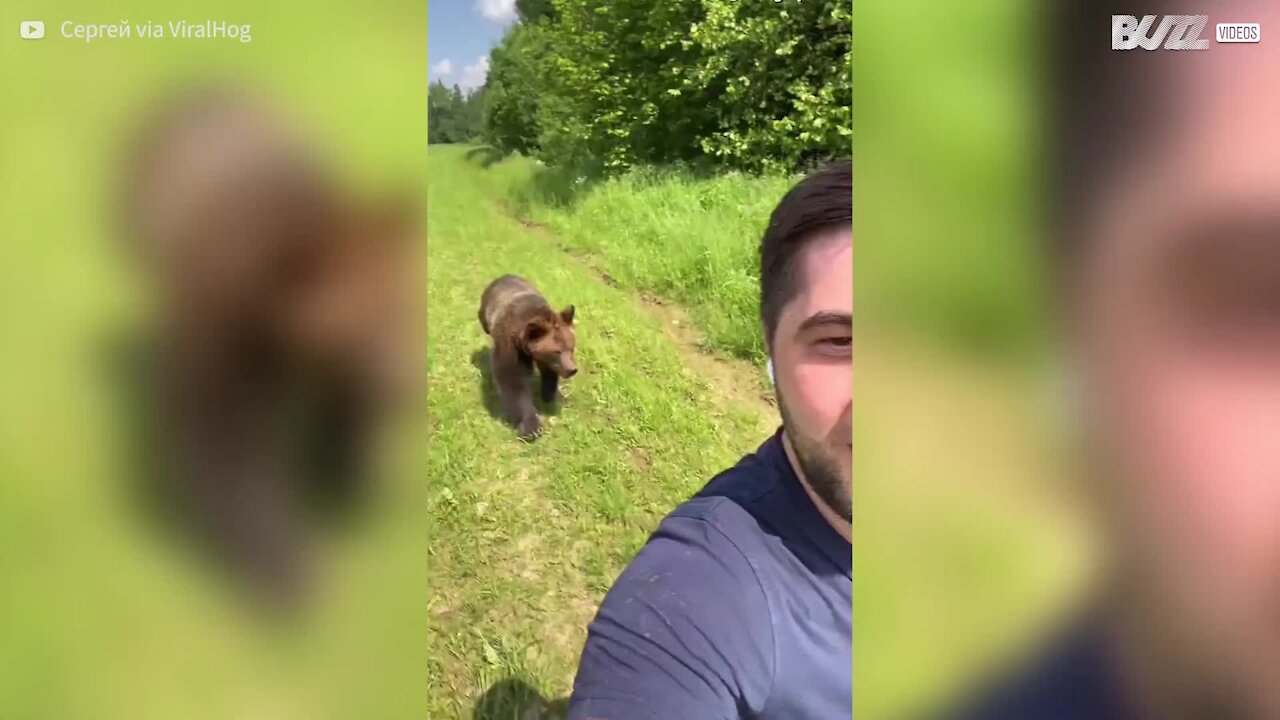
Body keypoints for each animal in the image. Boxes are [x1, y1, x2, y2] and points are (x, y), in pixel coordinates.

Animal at [122, 85, 419, 604]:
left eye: (401, 306)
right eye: (363, 327)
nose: (405, 390)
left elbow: (342, 414)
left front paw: (348, 476)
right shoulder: (220, 333)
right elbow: (225, 445)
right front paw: (284, 566)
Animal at [481, 271, 581, 435]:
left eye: (571, 348)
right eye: (557, 351)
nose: (572, 369)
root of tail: (506, 275)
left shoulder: (544, 359)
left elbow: (549, 375)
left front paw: (549, 397)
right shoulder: (511, 346)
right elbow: (513, 380)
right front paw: (531, 426)